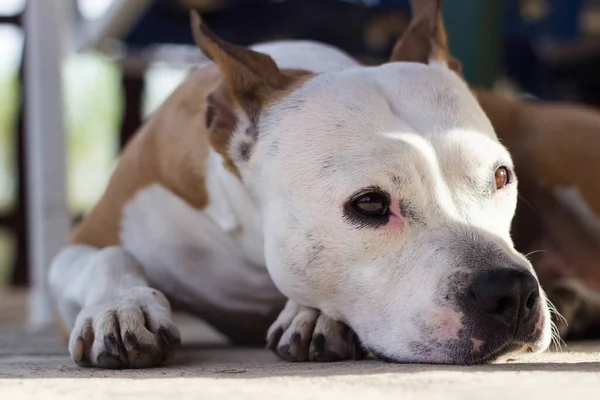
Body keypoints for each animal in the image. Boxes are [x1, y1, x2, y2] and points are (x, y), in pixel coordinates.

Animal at [48, 0, 552, 368]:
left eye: (501, 176)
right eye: (370, 204)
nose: (513, 291)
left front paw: (313, 315)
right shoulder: (88, 236)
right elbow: (109, 255)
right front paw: (121, 307)